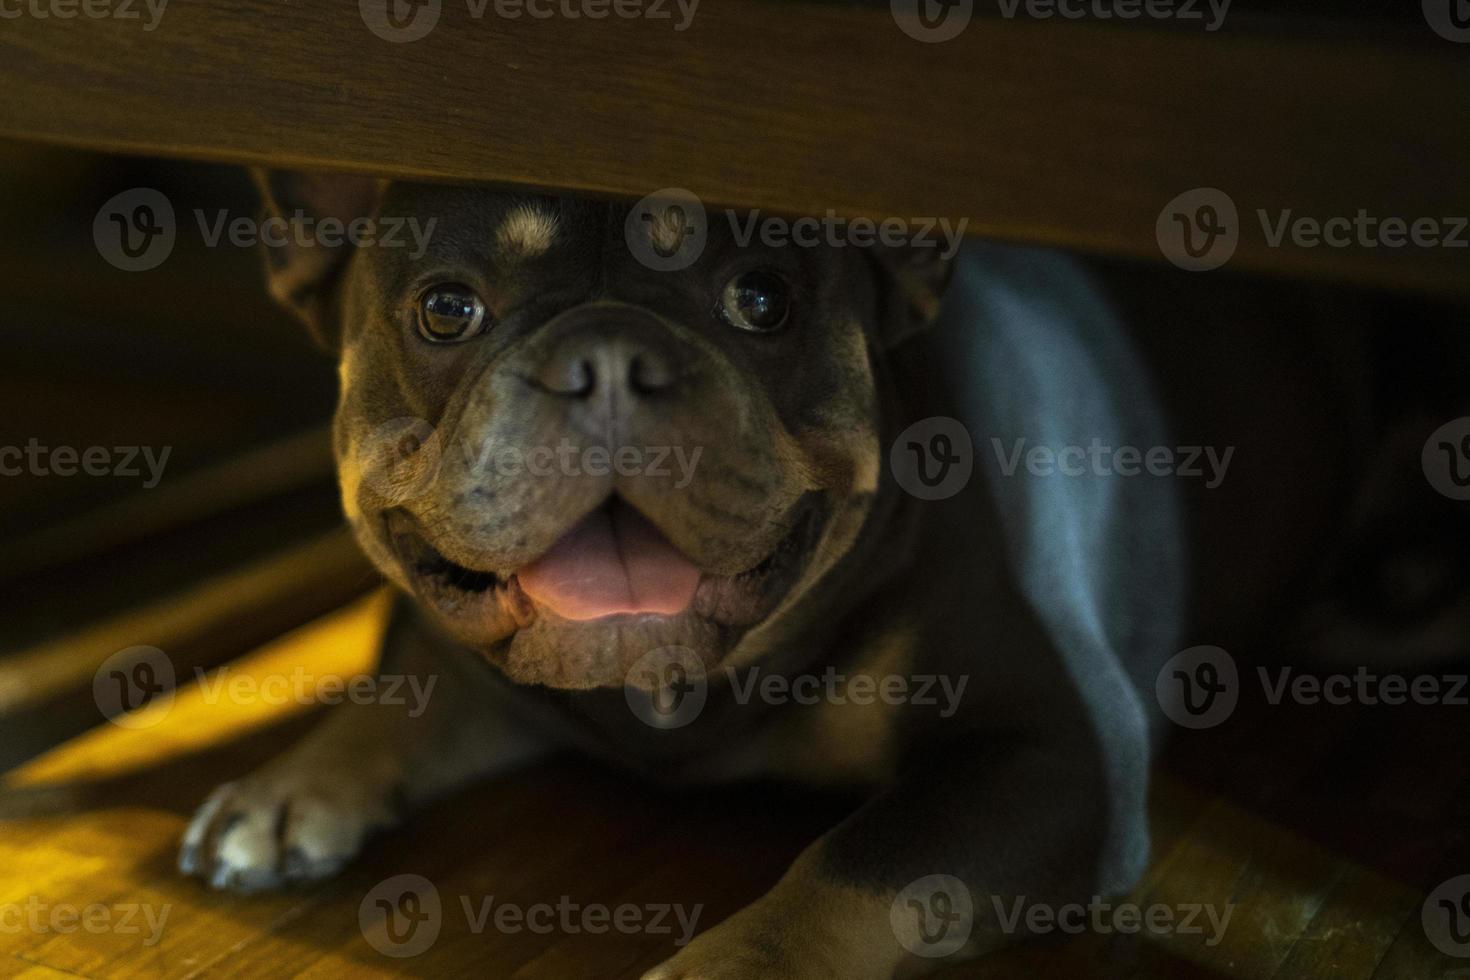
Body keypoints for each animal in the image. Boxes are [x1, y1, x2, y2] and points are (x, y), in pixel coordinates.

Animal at [174, 172, 1446, 975]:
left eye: (762, 298)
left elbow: (862, 859)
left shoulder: (1057, 750)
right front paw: (294, 781)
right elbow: (406, 683)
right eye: (447, 307)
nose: (605, 355)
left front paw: (737, 961)